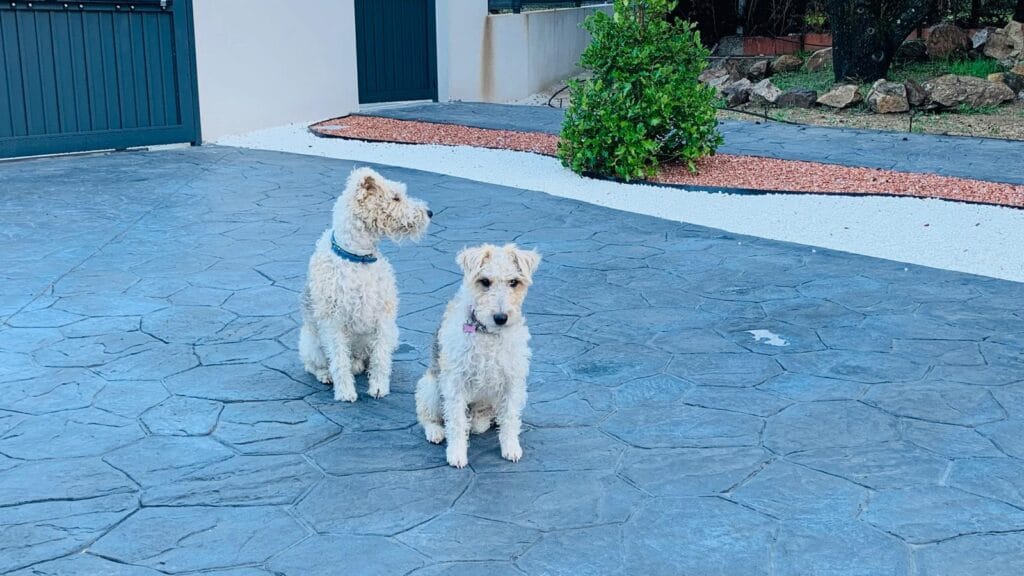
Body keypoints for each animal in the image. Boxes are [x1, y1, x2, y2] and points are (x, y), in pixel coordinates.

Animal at [301, 165, 434, 399]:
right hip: (310, 343)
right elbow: (339, 360)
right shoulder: (333, 321)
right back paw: (326, 374)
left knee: (364, 358)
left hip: (392, 334)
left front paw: (379, 387)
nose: (429, 212)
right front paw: (345, 392)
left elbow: (380, 358)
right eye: (396, 197)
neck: (358, 257)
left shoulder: (383, 317)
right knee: (317, 364)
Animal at [415, 241, 544, 467]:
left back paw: (481, 421)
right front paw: (456, 454)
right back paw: (436, 432)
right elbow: (456, 421)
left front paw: (511, 448)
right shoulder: (455, 382)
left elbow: (510, 418)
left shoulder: (513, 380)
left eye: (514, 282)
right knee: (428, 416)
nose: (501, 318)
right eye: (484, 281)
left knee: (483, 419)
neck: (488, 334)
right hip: (431, 388)